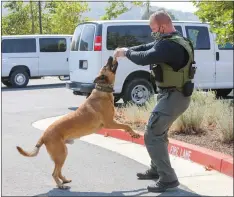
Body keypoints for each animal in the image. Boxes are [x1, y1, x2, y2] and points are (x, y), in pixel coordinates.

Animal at [16, 55, 141, 189]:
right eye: (106, 66)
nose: (110, 56)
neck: (103, 90)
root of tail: (43, 136)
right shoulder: (110, 123)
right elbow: (126, 125)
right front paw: (134, 134)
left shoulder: (112, 121)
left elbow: (126, 125)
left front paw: (133, 133)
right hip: (61, 154)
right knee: (54, 173)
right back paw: (60, 185)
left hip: (63, 153)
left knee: (58, 171)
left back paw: (64, 180)